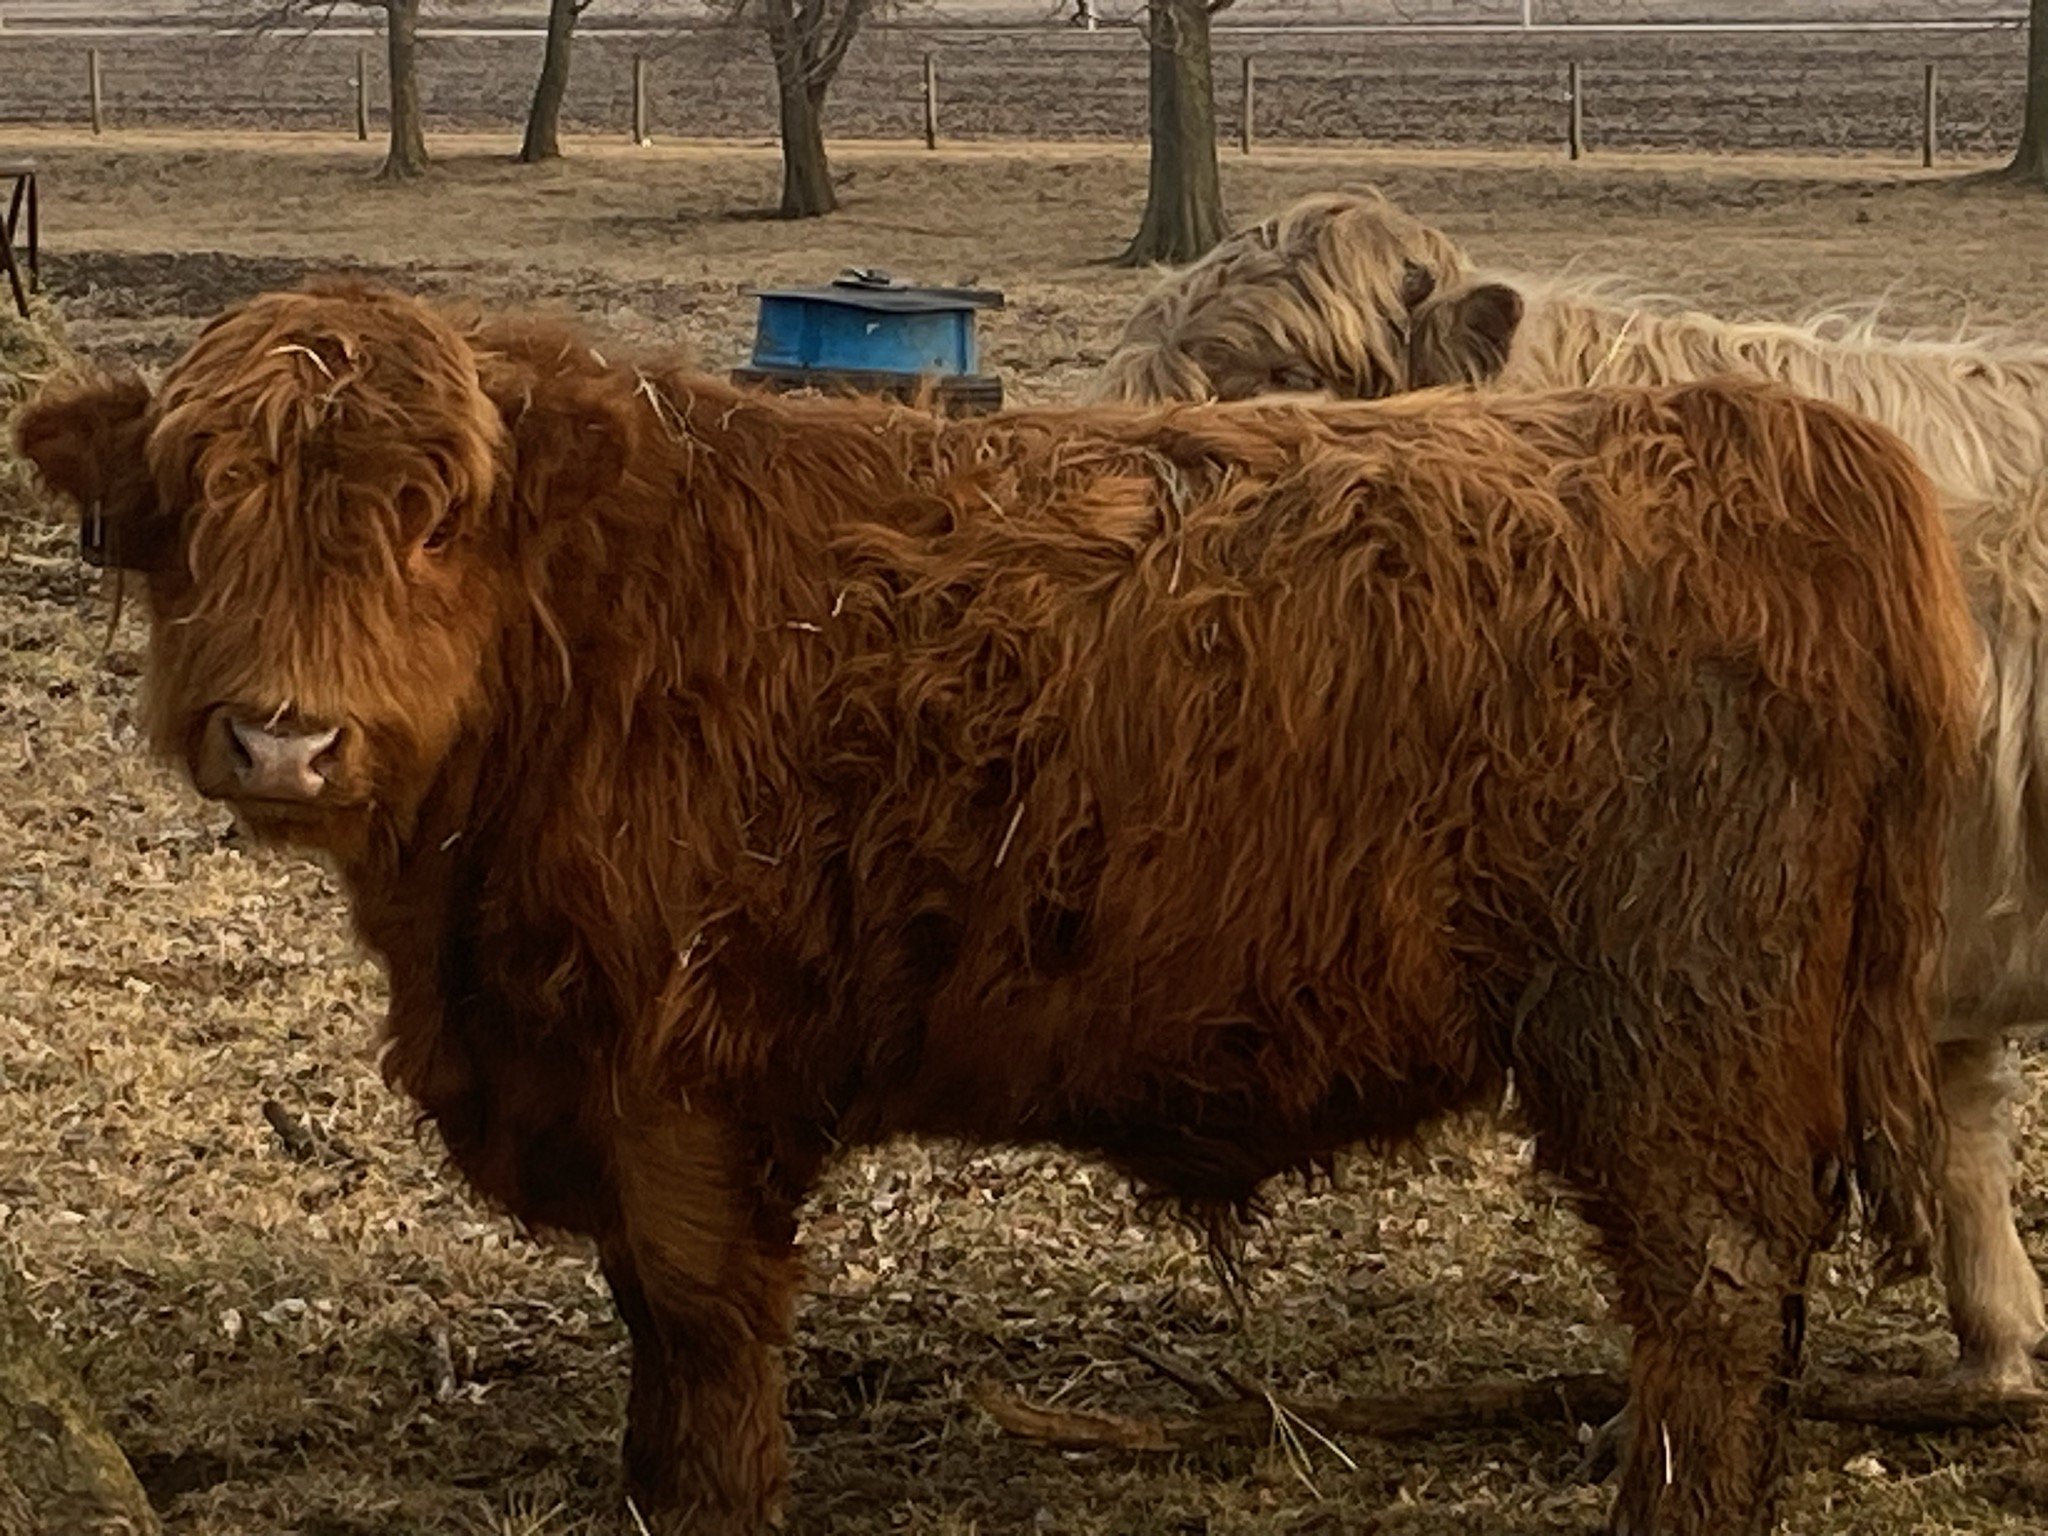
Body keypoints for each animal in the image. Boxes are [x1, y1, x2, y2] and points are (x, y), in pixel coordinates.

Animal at [18, 283, 1977, 1536]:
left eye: (428, 518)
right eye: (193, 512)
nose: (282, 734)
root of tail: (1770, 436)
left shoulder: (684, 1068)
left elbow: (704, 1315)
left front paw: (707, 1497)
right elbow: (649, 1319)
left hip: (1670, 1020)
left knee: (1710, 1283)